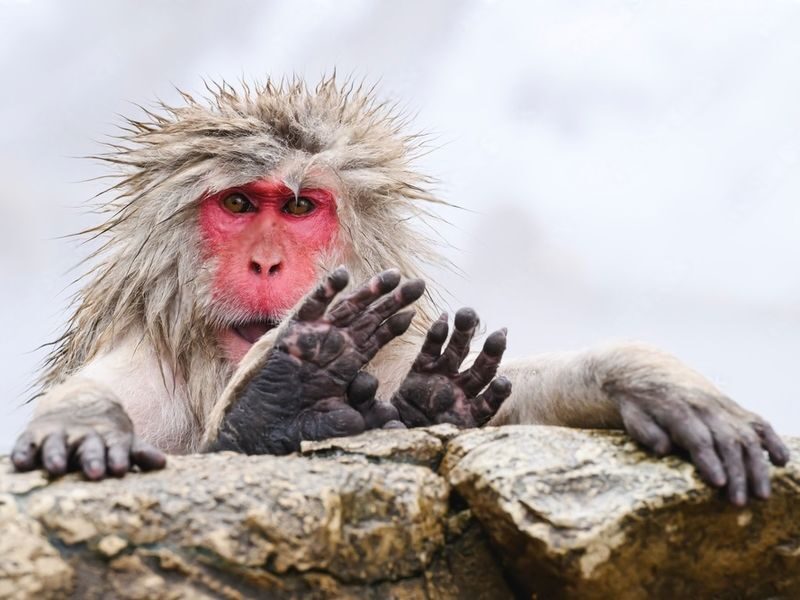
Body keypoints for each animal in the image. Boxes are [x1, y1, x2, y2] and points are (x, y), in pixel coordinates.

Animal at [10, 77, 788, 507]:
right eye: (237, 205)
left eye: (299, 208)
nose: (265, 262)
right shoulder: (149, 363)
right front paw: (85, 425)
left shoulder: (383, 345)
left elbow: (520, 403)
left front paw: (643, 379)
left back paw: (426, 399)